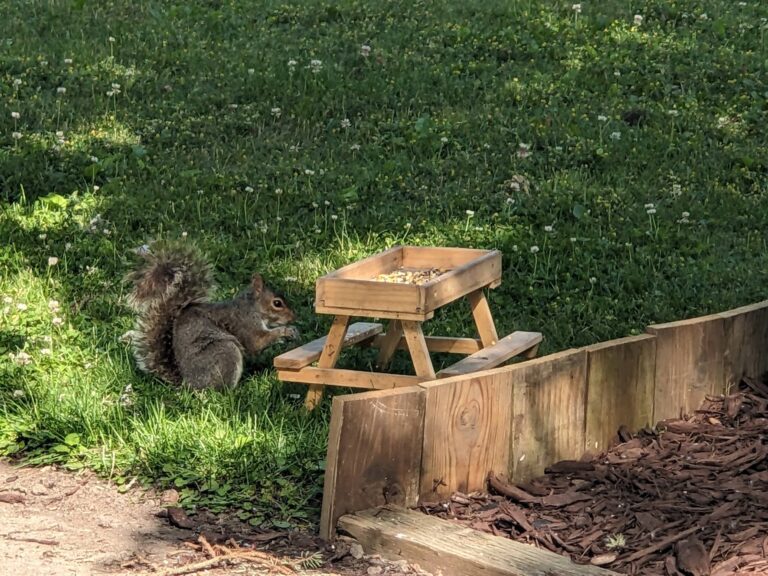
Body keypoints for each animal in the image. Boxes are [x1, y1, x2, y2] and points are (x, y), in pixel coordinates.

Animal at [123, 242, 299, 390]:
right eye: (277, 303)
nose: (293, 317)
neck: (253, 308)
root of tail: (188, 384)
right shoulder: (246, 324)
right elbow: (258, 342)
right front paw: (286, 330)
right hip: (225, 351)